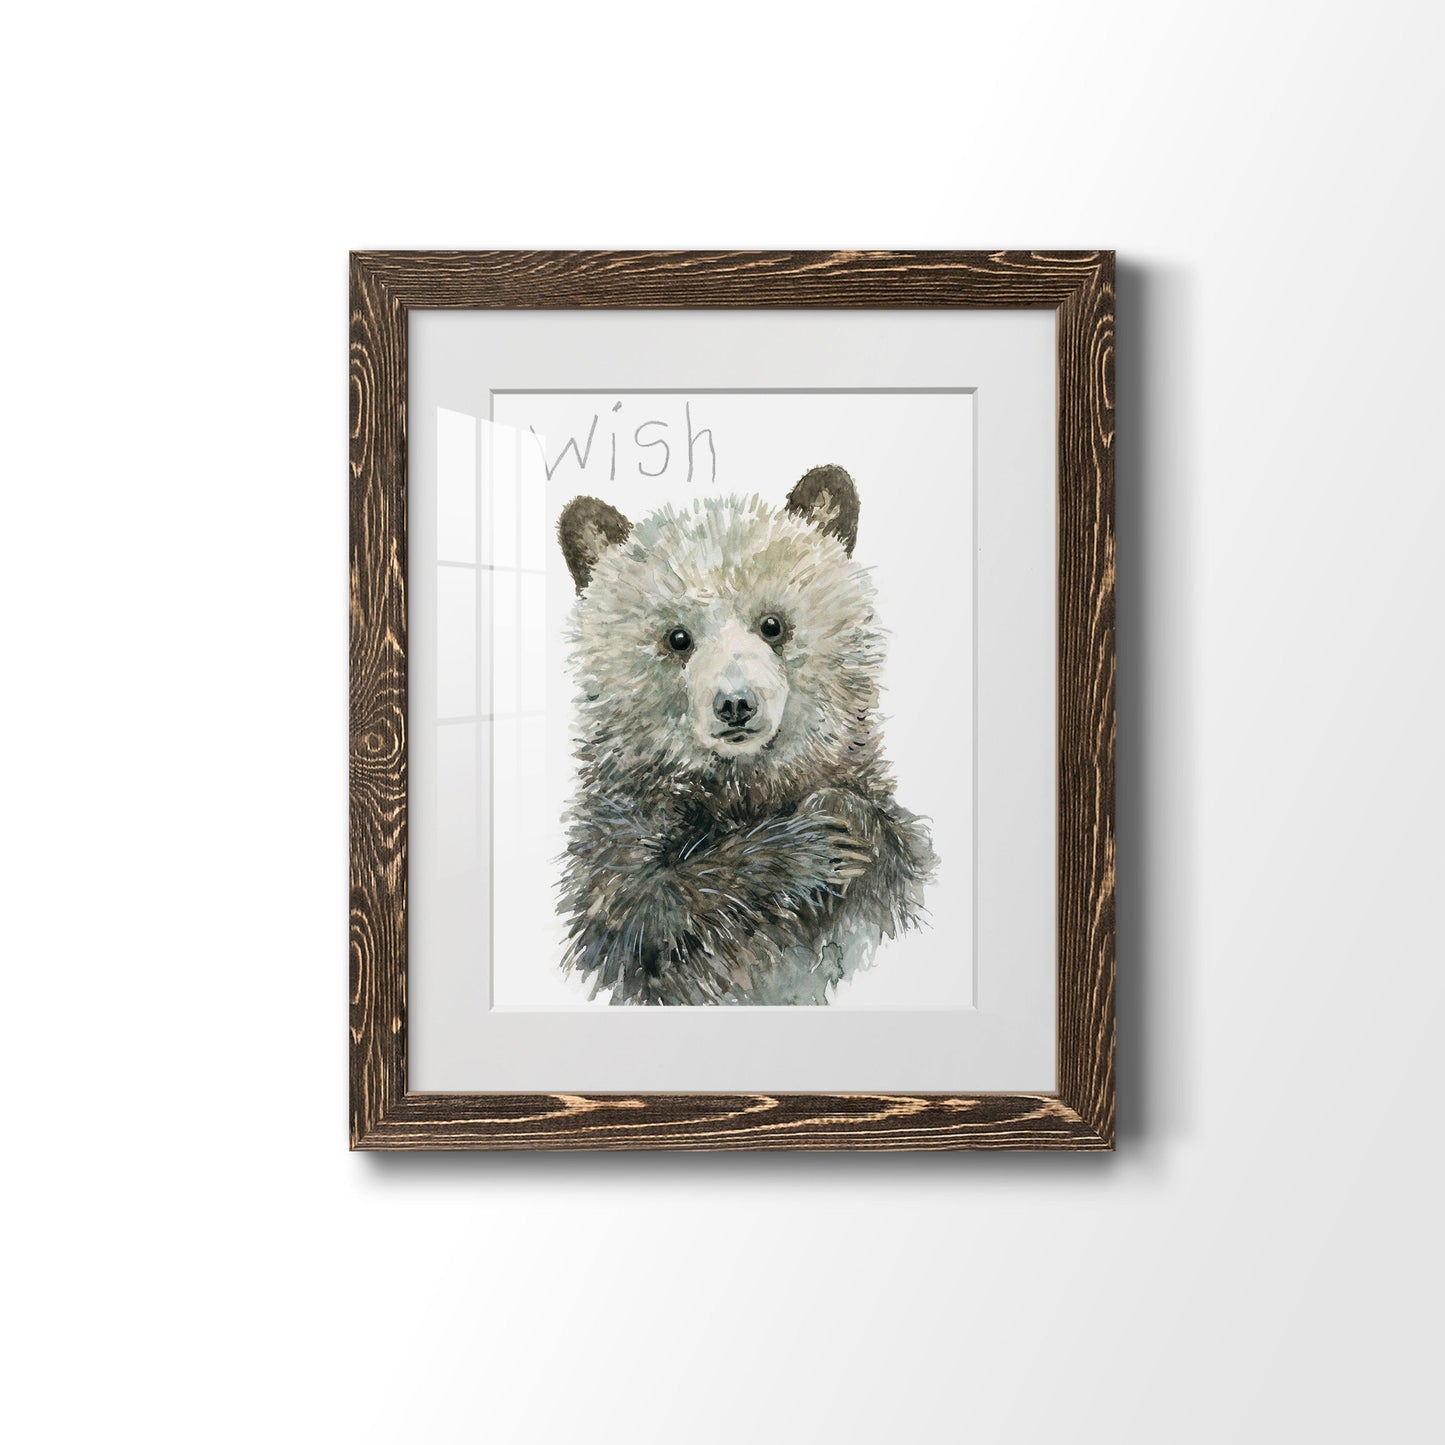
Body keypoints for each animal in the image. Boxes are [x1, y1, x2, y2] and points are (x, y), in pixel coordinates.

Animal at [555, 464, 938, 1006]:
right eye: (677, 638)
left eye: (772, 624)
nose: (735, 704)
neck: (745, 785)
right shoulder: (621, 816)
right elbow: (638, 910)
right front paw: (815, 843)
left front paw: (852, 818)